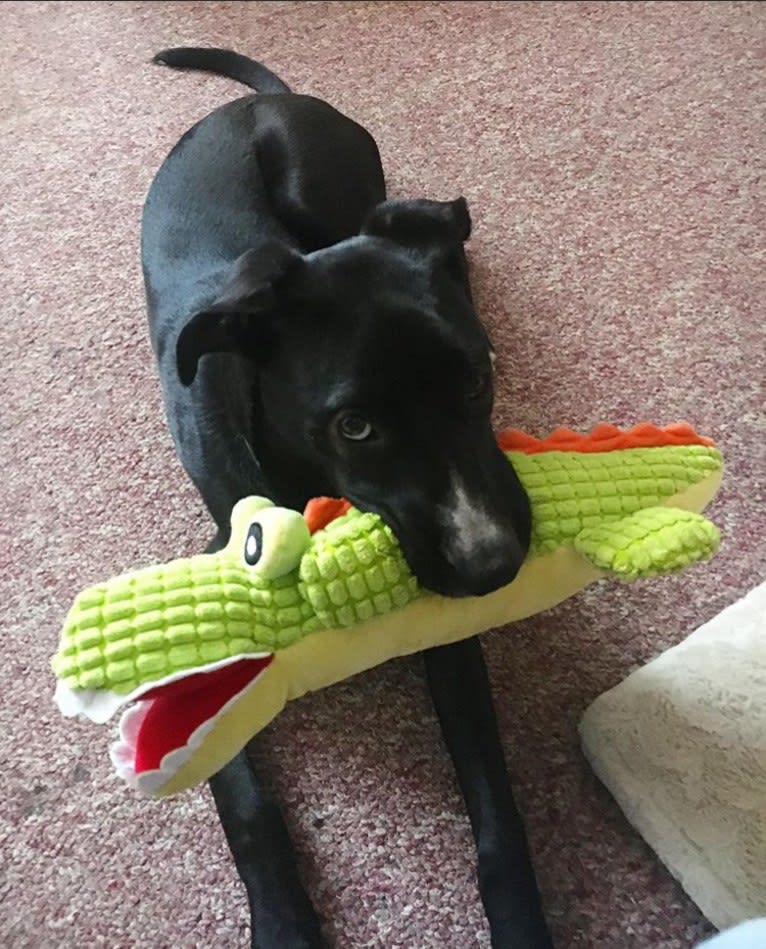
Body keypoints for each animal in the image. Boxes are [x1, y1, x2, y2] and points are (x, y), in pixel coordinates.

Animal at [142, 48, 552, 944]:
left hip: (328, 187)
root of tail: (268, 101)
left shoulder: (443, 618)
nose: (496, 565)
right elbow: (249, 809)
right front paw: (285, 925)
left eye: (478, 380)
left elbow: (496, 801)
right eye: (355, 426)